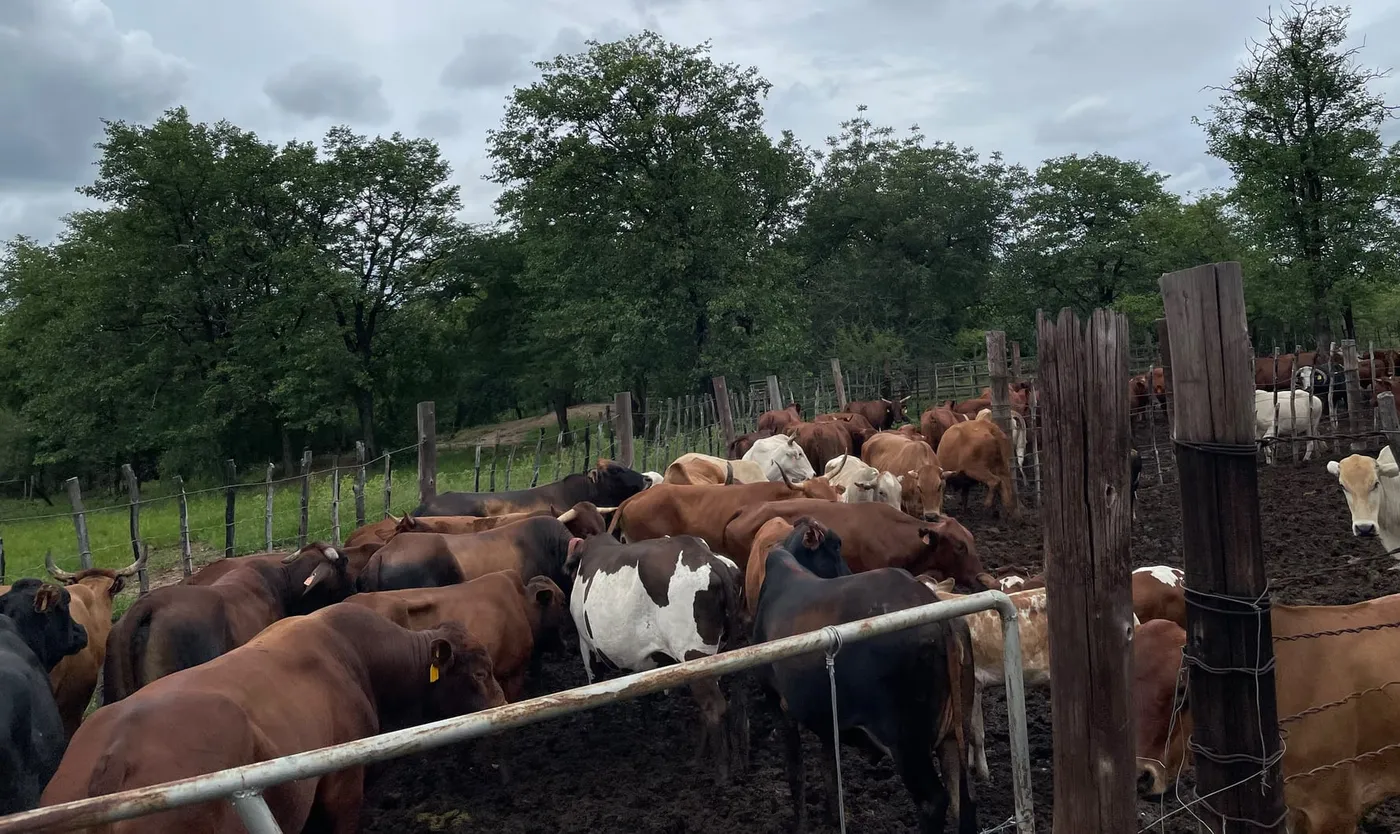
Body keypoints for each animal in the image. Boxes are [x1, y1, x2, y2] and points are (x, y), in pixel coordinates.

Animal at [566, 535, 747, 783]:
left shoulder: (586, 646)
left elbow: (594, 688)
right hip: (718, 654)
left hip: (694, 654)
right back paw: (698, 759)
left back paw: (721, 774)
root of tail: (712, 560)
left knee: (713, 706)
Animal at [753, 519, 977, 833]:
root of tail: (936, 611)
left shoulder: (778, 703)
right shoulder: (826, 718)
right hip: (954, 733)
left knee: (933, 802)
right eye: (834, 547)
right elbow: (829, 771)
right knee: (964, 802)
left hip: (907, 743)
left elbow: (795, 773)